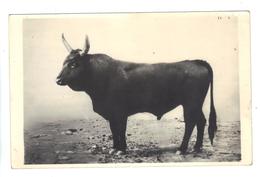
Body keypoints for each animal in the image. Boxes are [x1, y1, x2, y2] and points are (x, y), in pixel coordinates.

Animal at [57, 34, 217, 153]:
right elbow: (114, 130)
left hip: (191, 103)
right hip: (196, 104)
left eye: (74, 64)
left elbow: (120, 129)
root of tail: (196, 61)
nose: (58, 79)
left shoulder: (119, 111)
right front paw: (115, 148)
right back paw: (197, 148)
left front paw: (121, 149)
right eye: (63, 63)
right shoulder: (112, 113)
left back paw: (182, 149)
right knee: (201, 121)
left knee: (190, 122)